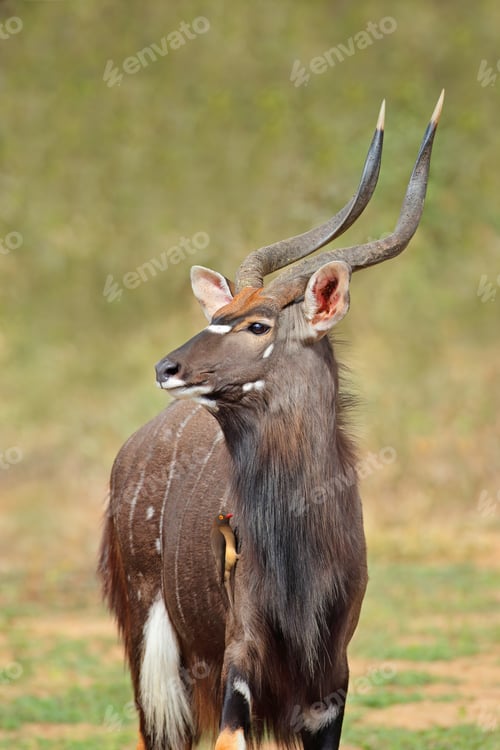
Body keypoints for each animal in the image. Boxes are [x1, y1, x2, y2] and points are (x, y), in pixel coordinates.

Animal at [99, 92, 443, 750]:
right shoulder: (241, 659)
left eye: (258, 324)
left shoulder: (329, 685)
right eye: (218, 315)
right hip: (156, 667)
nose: (167, 367)